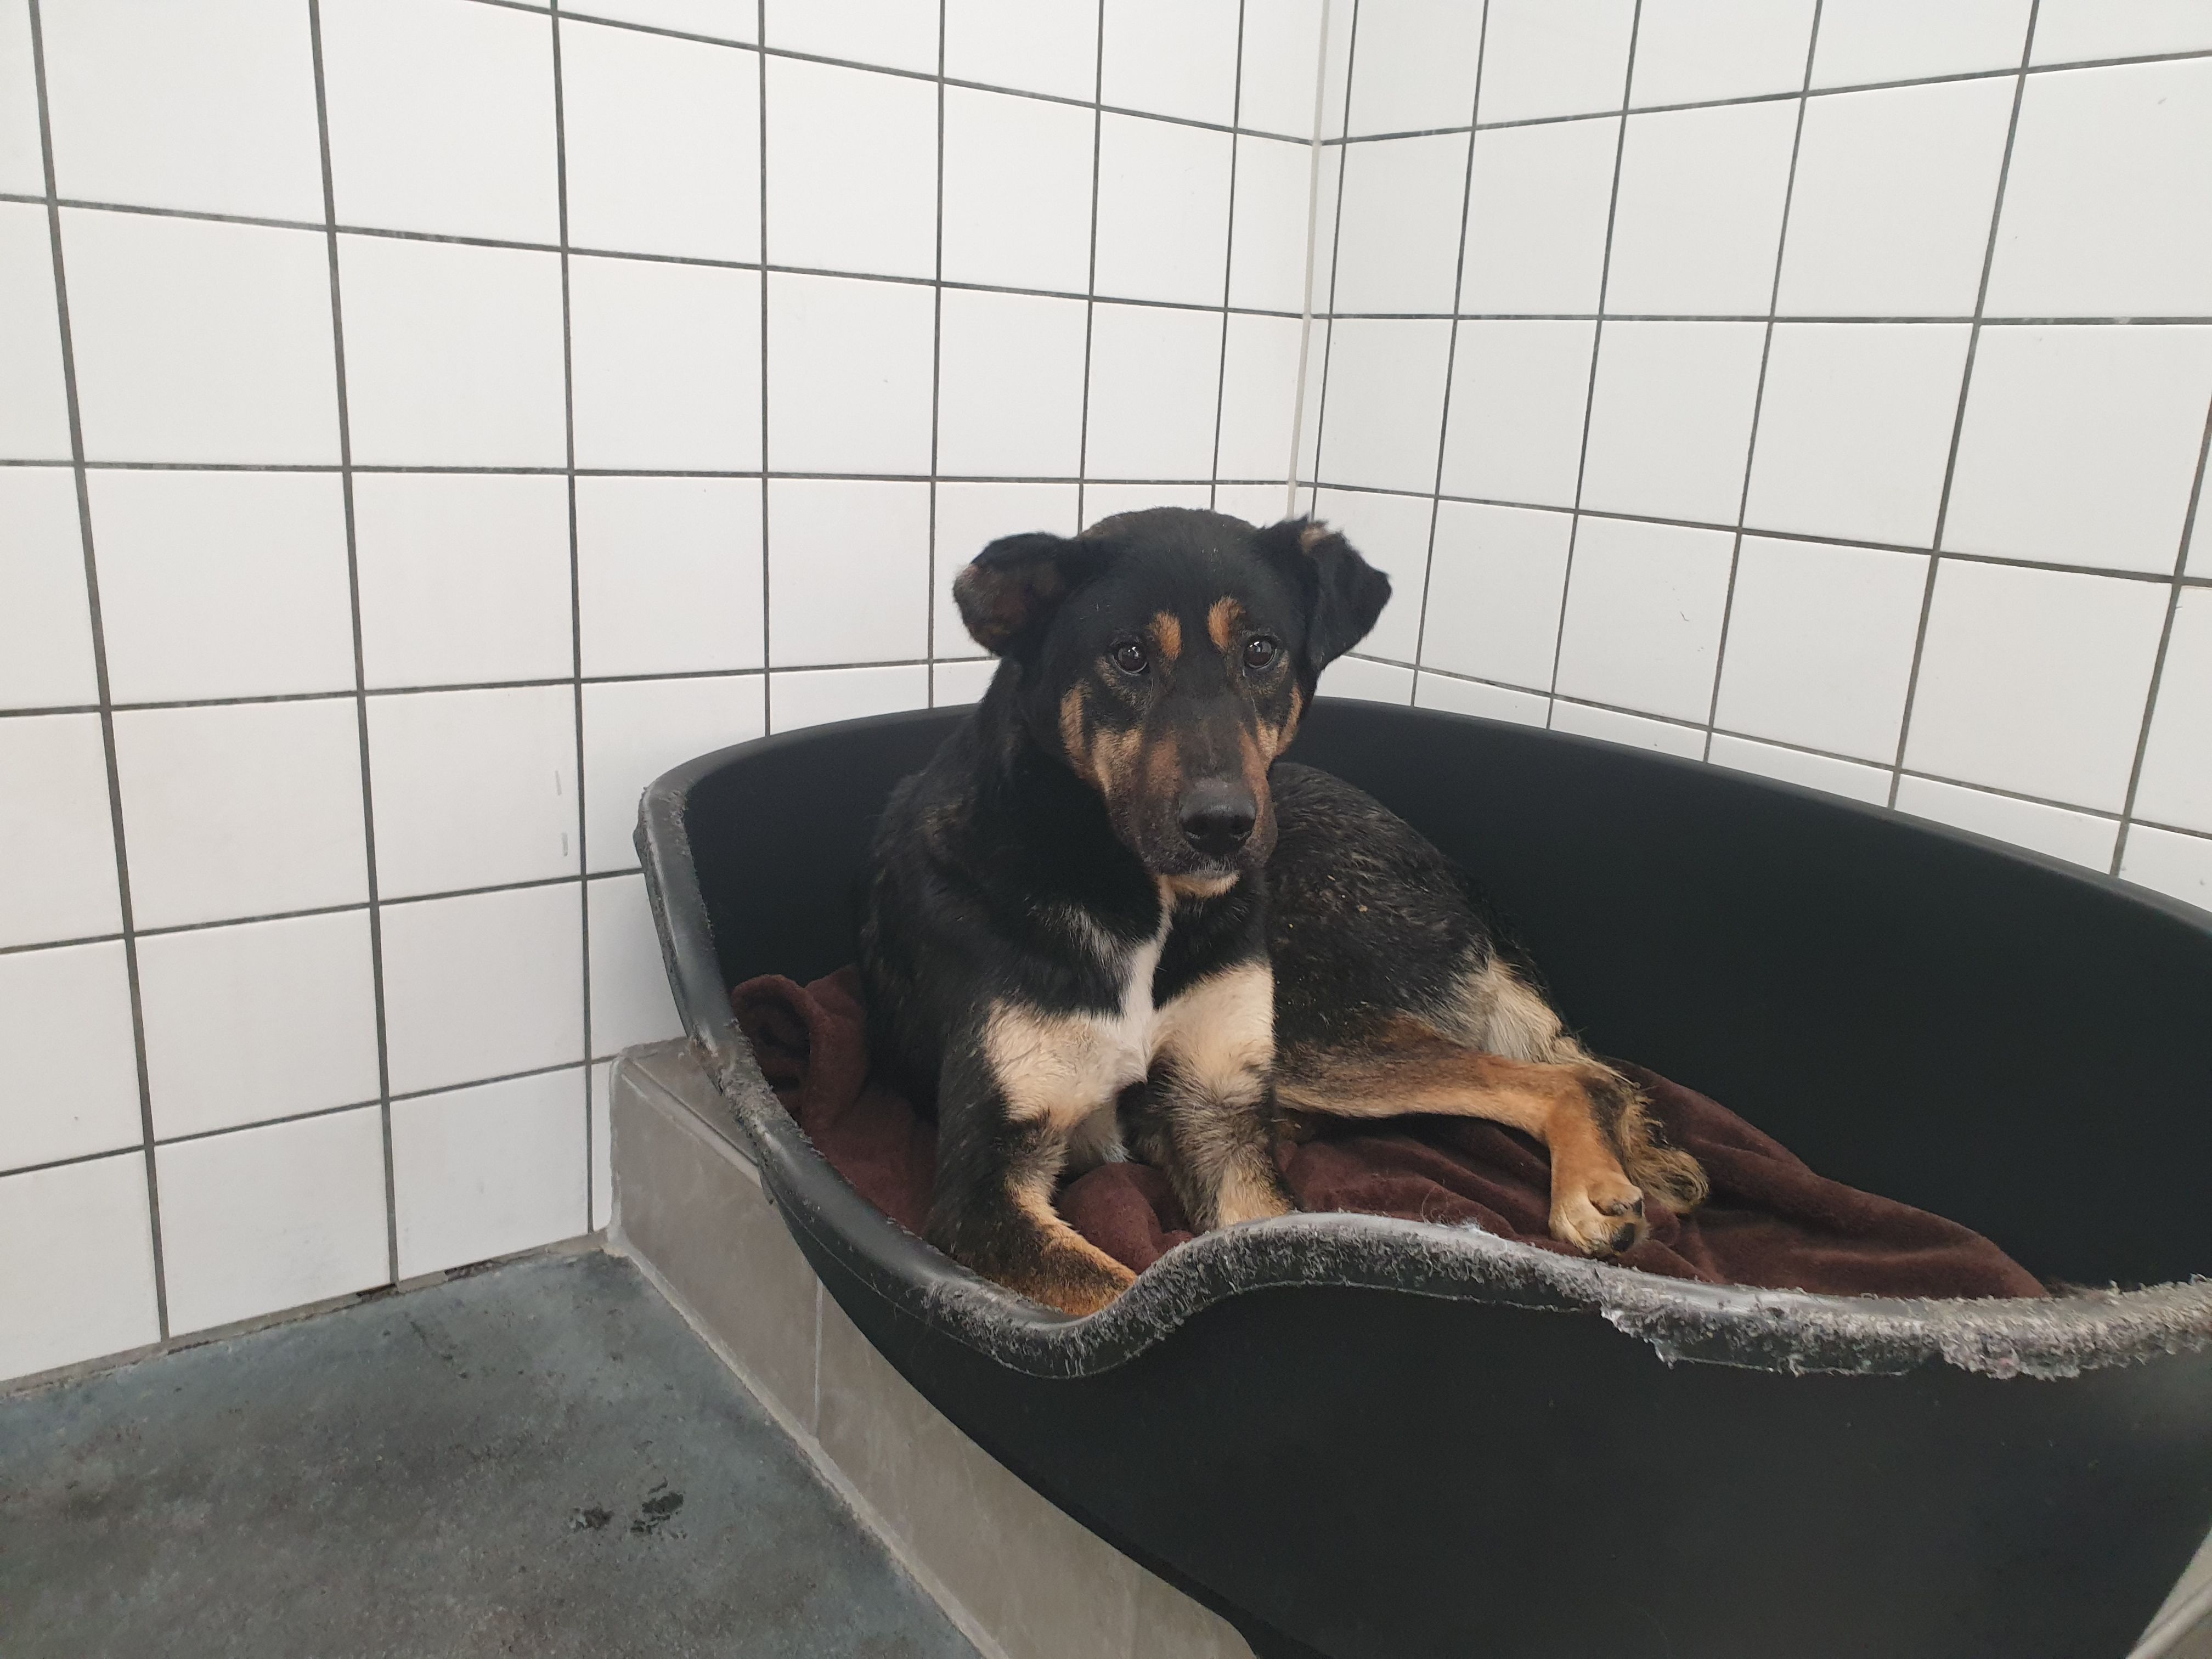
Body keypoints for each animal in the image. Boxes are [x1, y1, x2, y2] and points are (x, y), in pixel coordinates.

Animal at [857, 507, 1706, 1316]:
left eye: (1261, 652)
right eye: (1128, 656)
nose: (1222, 826)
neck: (1135, 893)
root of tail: (1456, 879)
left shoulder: (1217, 1112)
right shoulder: (983, 1188)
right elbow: (1114, 1295)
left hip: (1307, 1027)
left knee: (1570, 1078)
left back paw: (1594, 1186)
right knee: (1580, 1074)